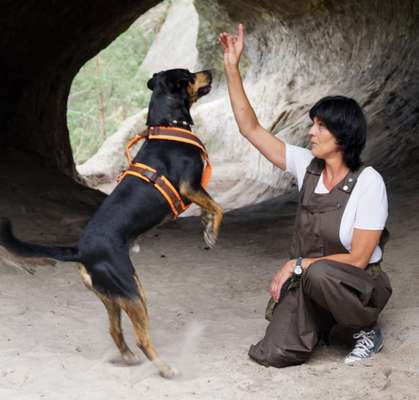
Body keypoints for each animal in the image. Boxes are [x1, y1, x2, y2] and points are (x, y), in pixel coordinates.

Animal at [0, 69, 223, 378]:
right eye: (189, 76)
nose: (211, 72)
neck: (166, 125)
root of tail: (80, 251)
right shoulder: (190, 186)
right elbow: (218, 206)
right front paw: (212, 231)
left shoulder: (195, 190)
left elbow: (210, 206)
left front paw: (206, 225)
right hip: (131, 292)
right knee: (142, 338)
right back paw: (165, 368)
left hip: (114, 296)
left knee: (115, 331)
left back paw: (128, 357)